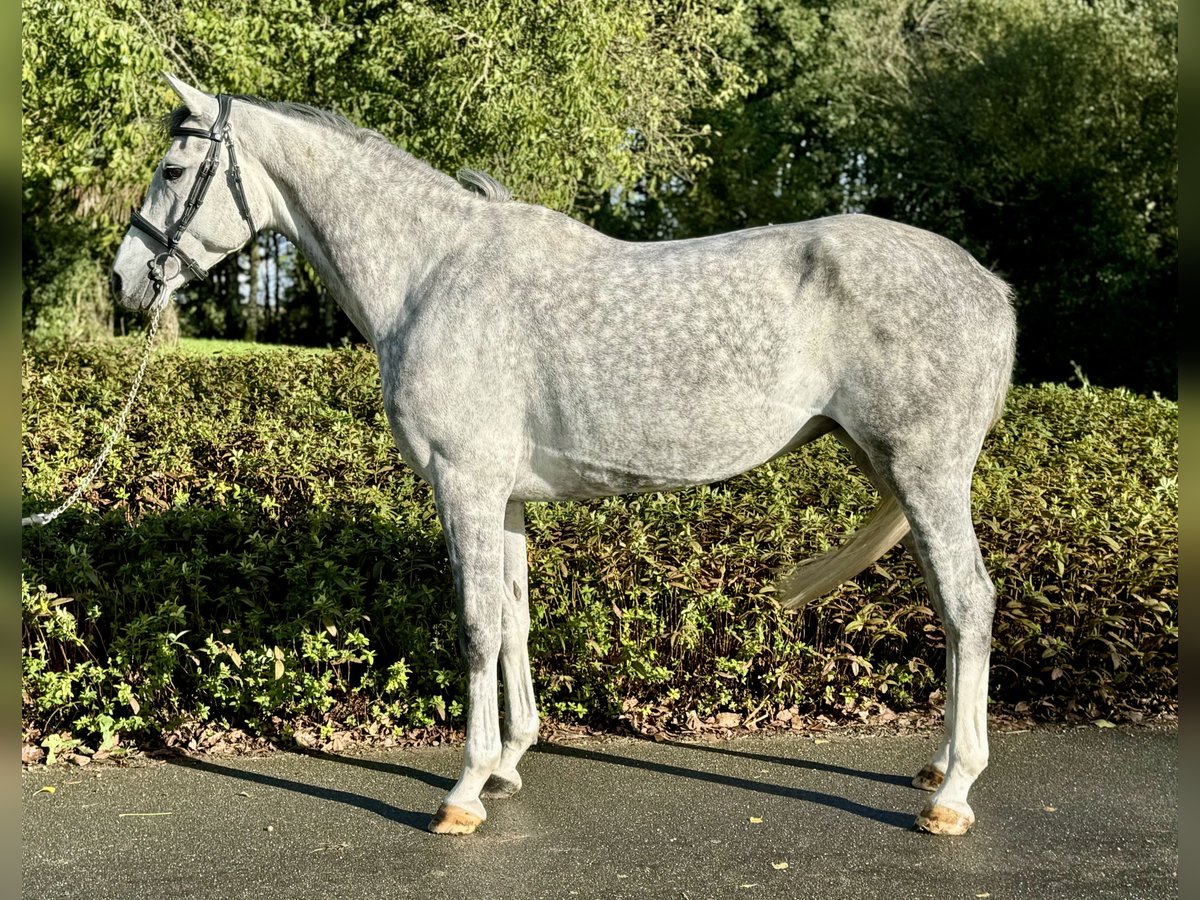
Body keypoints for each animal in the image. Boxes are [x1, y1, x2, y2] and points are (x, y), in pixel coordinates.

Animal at [110, 77, 1012, 840]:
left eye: (173, 167)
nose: (124, 282)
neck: (428, 274)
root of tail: (991, 285)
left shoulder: (464, 486)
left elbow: (476, 626)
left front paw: (464, 791)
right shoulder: (502, 497)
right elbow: (513, 618)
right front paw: (510, 763)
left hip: (924, 472)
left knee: (969, 602)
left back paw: (954, 794)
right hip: (893, 473)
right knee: (948, 602)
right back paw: (935, 765)